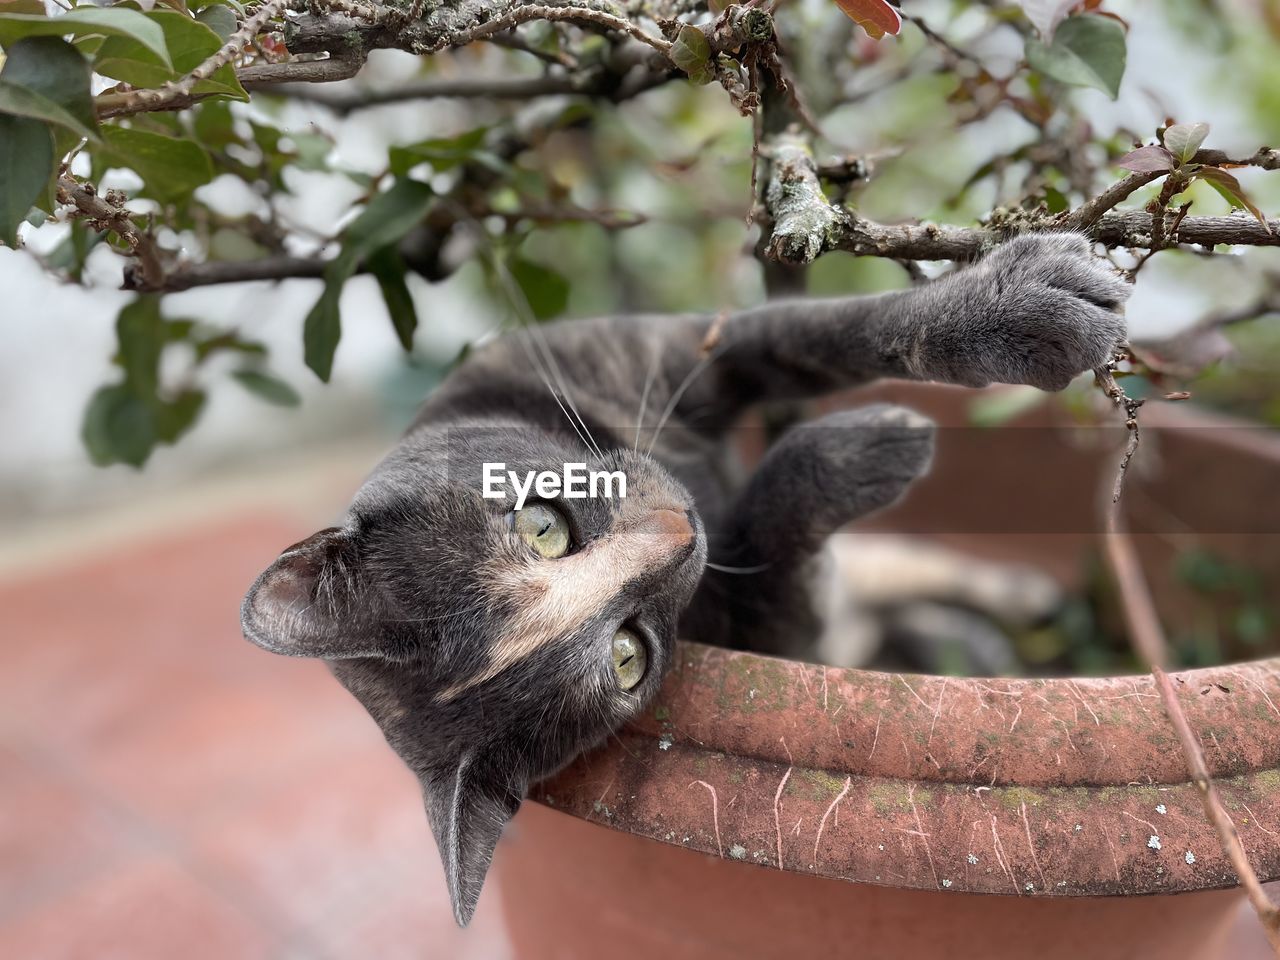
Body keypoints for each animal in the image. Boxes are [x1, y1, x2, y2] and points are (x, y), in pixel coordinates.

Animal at [241, 232, 1131, 926]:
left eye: (541, 527)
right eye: (629, 658)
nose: (682, 531)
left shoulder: (686, 349)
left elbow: (843, 331)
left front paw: (1027, 310)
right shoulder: (772, 632)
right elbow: (778, 564)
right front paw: (866, 447)